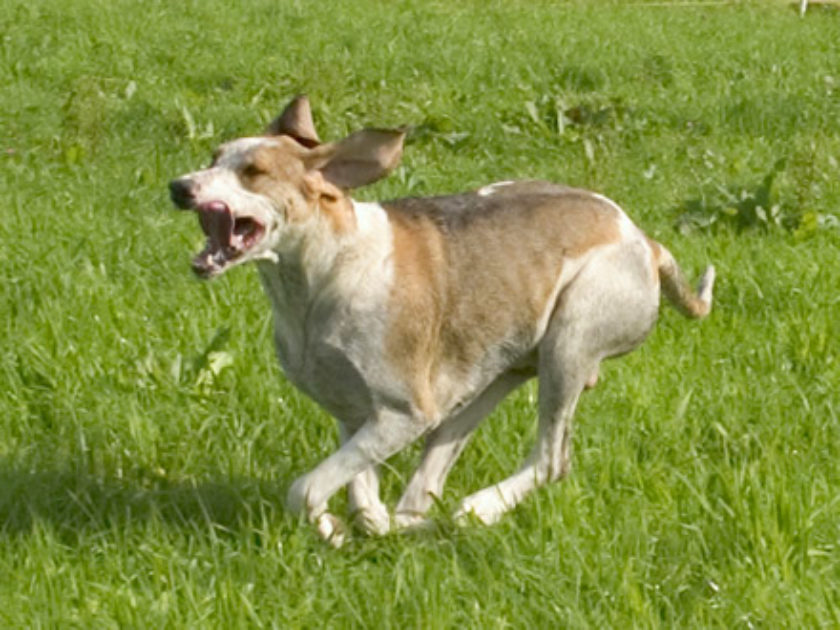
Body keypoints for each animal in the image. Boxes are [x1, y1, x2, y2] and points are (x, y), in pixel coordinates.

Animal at [171, 96, 716, 544]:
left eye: (254, 171)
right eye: (215, 157)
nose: (179, 187)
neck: (325, 271)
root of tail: (646, 242)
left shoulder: (402, 414)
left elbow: (304, 489)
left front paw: (331, 525)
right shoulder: (353, 413)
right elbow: (356, 495)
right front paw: (342, 527)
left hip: (569, 342)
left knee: (550, 460)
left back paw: (477, 509)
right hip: (496, 379)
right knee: (429, 485)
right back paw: (419, 521)